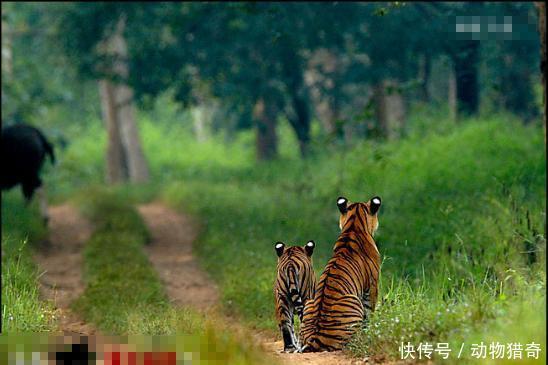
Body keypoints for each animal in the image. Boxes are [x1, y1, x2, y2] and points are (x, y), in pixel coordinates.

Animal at [300, 195, 382, 352]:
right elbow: (370, 312)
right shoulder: (372, 285)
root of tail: (315, 338)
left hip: (309, 303)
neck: (353, 226)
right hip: (353, 301)